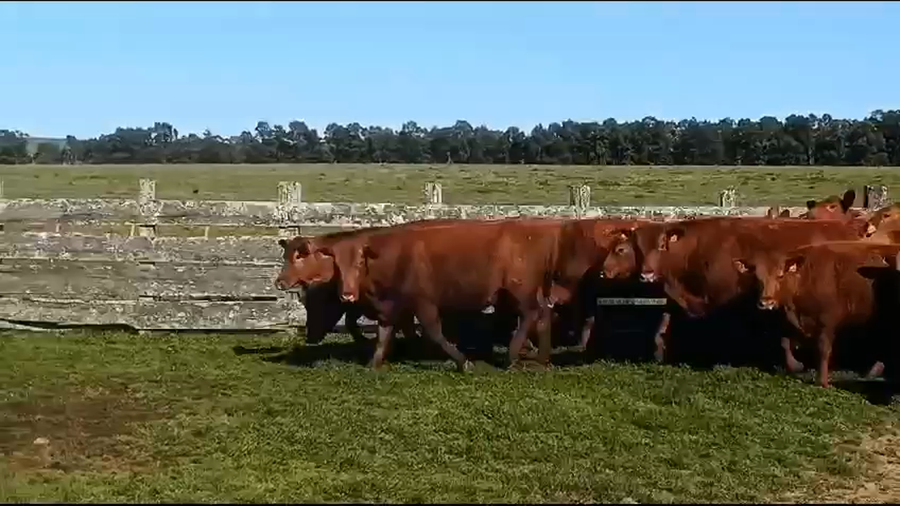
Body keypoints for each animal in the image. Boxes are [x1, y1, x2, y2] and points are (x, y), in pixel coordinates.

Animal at [735, 241, 900, 388]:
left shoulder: (827, 321)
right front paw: (796, 366)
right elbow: (785, 343)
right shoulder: (789, 322)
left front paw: (823, 382)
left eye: (780, 275)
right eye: (757, 277)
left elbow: (823, 349)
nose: (766, 302)